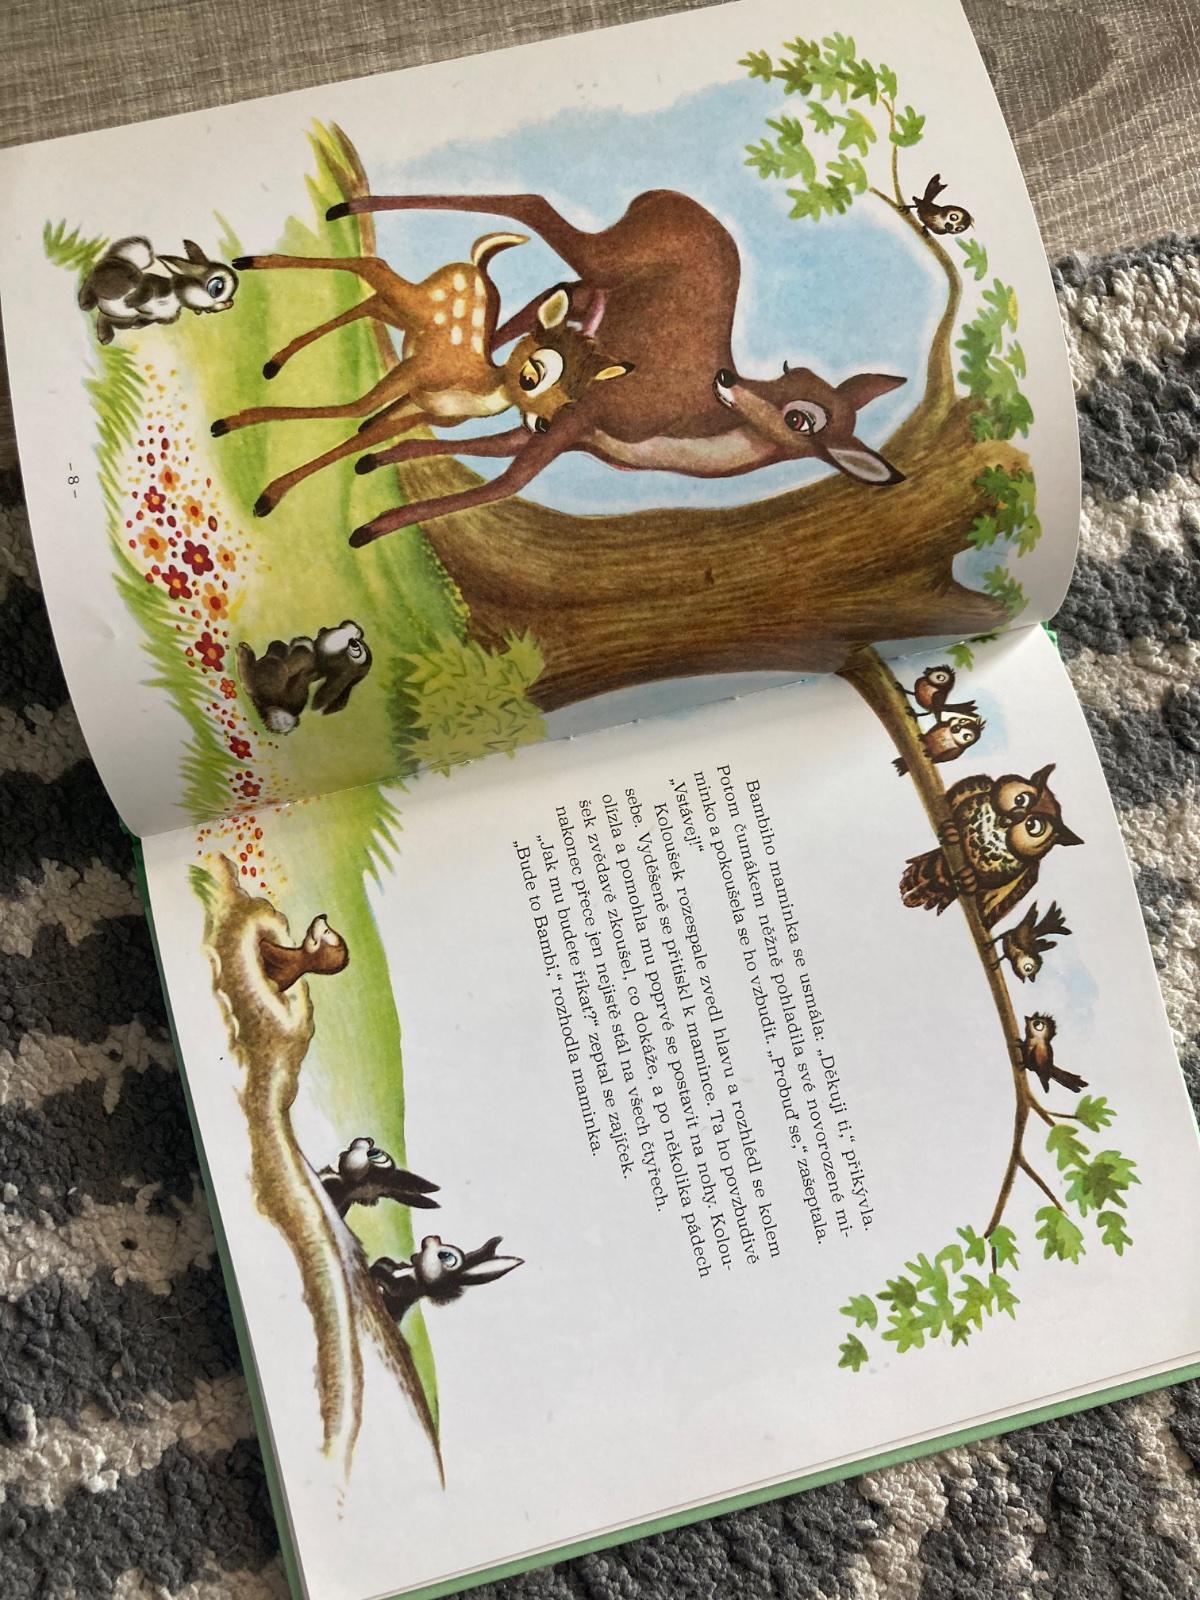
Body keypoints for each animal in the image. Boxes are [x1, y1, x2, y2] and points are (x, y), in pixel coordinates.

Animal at [78, 236, 238, 344]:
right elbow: (145, 287)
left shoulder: (155, 317)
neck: (176, 295)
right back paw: (85, 303)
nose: (230, 303)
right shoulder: (154, 283)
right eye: (217, 287)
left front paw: (137, 325)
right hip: (112, 284)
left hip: (123, 318)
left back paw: (105, 337)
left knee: (103, 316)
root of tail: (117, 257)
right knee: (90, 281)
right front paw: (130, 302)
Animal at [208, 234, 634, 518]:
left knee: (370, 302)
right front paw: (260, 482)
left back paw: (275, 361)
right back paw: (250, 264)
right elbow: (354, 409)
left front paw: (268, 490)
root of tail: (476, 267)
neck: (473, 387)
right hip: (412, 305)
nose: (542, 424)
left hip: (405, 318)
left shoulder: (421, 410)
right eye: (533, 375)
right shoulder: (413, 374)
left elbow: (364, 431)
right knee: (372, 267)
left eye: (571, 401)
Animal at [236, 620, 372, 735]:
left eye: (357, 650)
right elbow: (281, 645)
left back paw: (244, 653)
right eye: (348, 625)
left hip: (271, 672)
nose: (354, 641)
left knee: (252, 683)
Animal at [323, 188, 909, 547]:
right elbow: (505, 484)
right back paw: (340, 211)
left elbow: (496, 462)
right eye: (790, 368)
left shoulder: (568, 430)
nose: (726, 379)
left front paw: (375, 462)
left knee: (538, 300)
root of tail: (668, 196)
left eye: (799, 418)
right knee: (530, 204)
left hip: (589, 287)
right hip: (603, 257)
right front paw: (370, 530)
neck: (689, 433)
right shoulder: (584, 416)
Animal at [370, 1235, 523, 1323]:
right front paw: (387, 1264)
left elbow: (394, 1287)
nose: (435, 1237)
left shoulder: (409, 1288)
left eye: (446, 1256)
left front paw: (379, 1271)